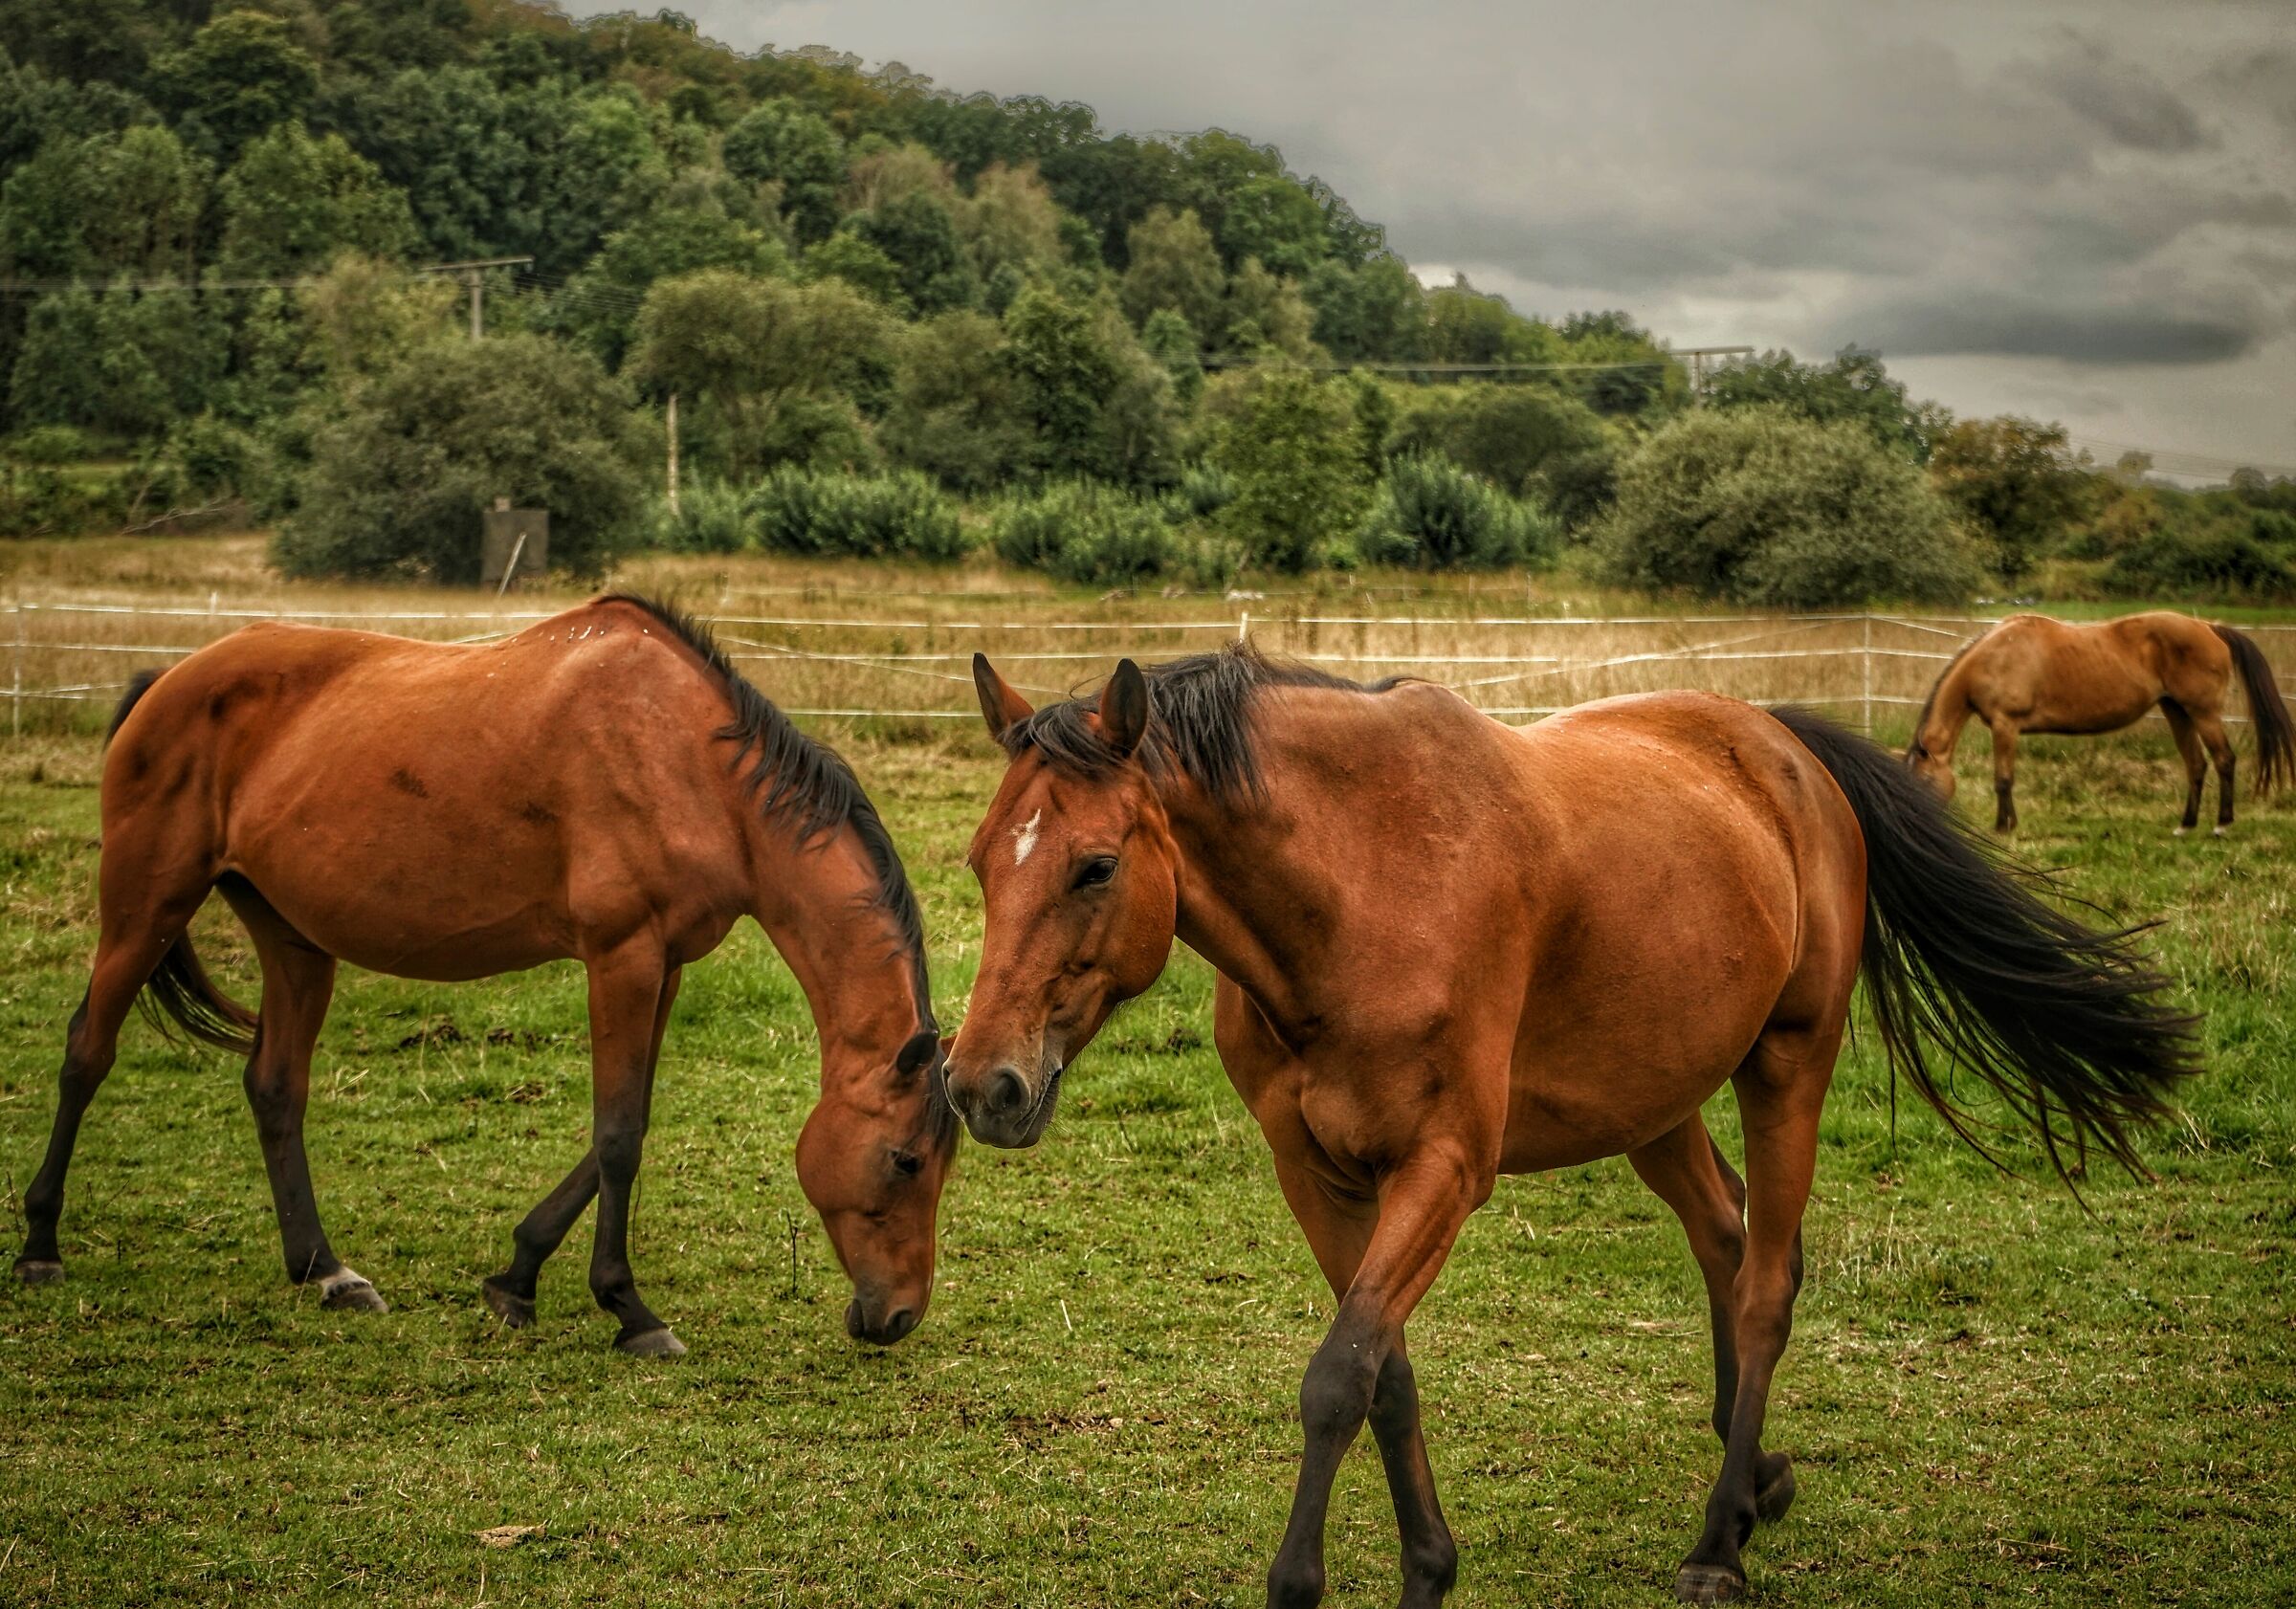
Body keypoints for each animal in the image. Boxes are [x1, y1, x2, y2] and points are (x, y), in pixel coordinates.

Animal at [13, 596, 957, 1356]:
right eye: (907, 1160)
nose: (898, 1316)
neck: (693, 765)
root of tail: (169, 679)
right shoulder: (622, 955)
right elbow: (620, 1134)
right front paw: (630, 1311)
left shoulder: (667, 965)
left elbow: (621, 1128)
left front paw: (517, 1278)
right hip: (146, 902)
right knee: (86, 1053)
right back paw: (40, 1247)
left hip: (293, 940)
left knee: (275, 1087)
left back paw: (326, 1271)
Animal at [944, 644, 2198, 1607]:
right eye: (979, 860)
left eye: (1095, 864)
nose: (980, 1083)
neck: (1362, 889)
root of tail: (1781, 747)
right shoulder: (1320, 1174)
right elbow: (1385, 1372)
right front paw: (1429, 1566)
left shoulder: (1445, 1169)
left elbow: (1339, 1373)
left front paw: (1303, 1580)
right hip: (1657, 1101)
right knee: (1726, 1235)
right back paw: (1753, 1480)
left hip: (1788, 1062)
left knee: (1766, 1281)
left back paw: (1715, 1546)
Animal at [1905, 610, 2293, 834]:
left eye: (1923, 782)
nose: (1916, 823)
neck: (1992, 657)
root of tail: (2210, 627)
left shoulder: (2006, 726)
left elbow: (2003, 779)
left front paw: (2004, 827)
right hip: (2177, 711)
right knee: (2196, 765)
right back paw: (2186, 825)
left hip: (2203, 712)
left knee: (2224, 760)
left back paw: (2222, 824)